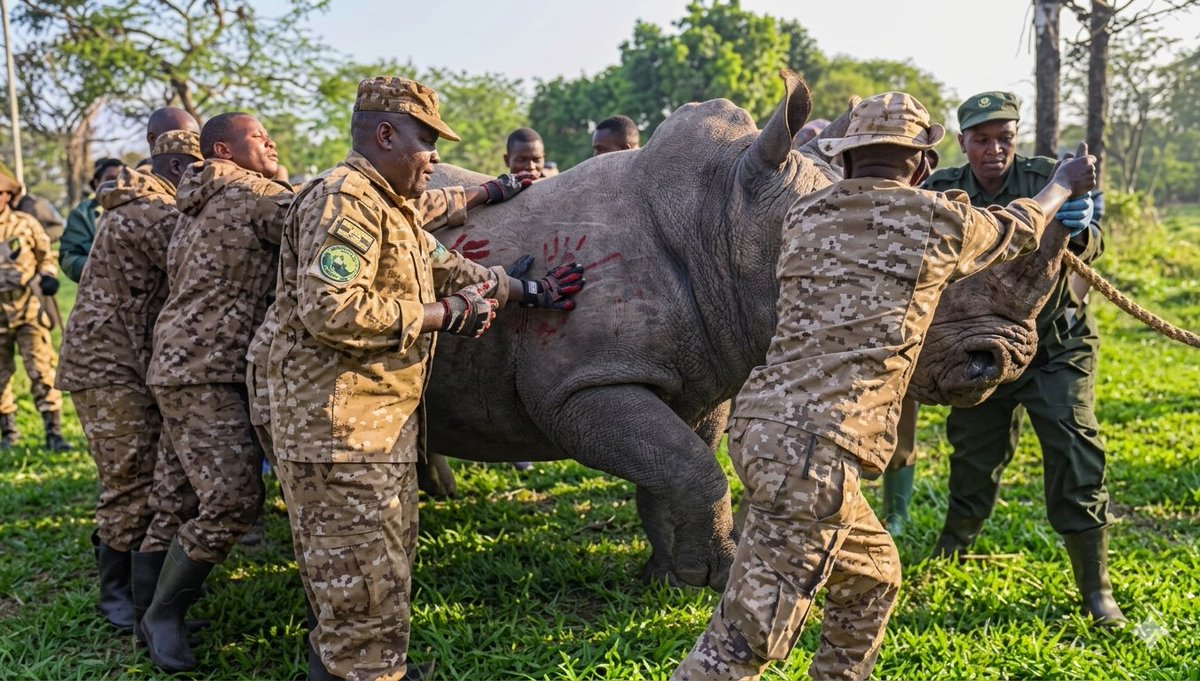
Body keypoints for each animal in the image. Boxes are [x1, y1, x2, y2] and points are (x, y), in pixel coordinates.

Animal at [420, 71, 1043, 590]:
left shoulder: (705, 365)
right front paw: (709, 575)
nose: (1000, 360)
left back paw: (439, 494)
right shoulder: (579, 384)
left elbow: (675, 468)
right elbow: (691, 468)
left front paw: (669, 578)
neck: (723, 215)